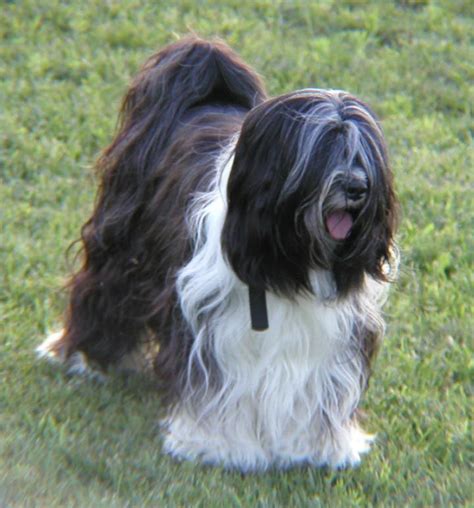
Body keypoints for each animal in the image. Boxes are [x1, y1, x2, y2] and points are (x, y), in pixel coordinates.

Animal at [39, 35, 398, 472]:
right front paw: (217, 443)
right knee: (101, 292)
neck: (290, 262)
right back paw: (81, 355)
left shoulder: (333, 329)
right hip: (122, 251)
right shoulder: (211, 319)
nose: (357, 188)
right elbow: (217, 385)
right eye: (324, 150)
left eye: (363, 156)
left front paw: (316, 446)